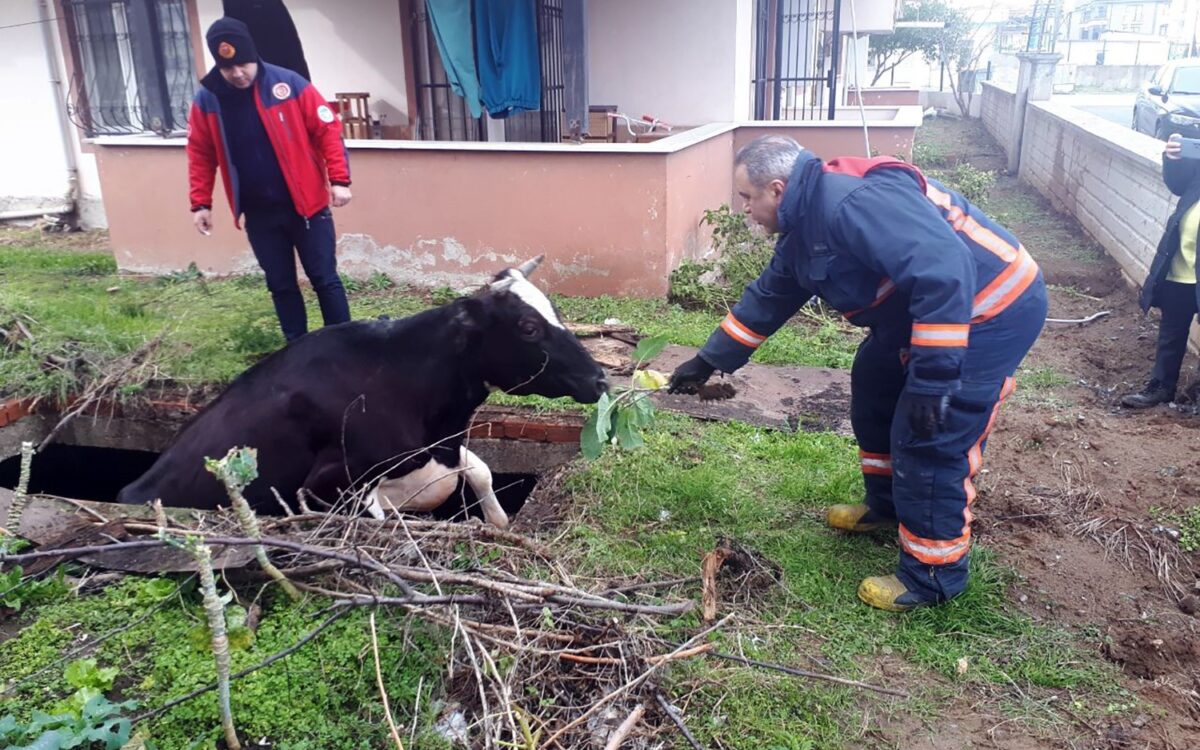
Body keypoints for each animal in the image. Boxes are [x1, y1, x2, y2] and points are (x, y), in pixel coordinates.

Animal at [117, 256, 609, 525]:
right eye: (528, 327)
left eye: (555, 309)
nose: (600, 378)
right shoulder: (324, 488)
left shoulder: (443, 449)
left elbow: (481, 471)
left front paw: (498, 523)